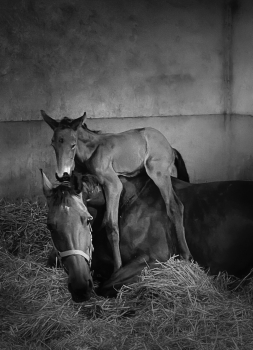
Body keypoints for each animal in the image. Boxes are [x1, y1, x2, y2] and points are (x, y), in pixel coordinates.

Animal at [41, 110, 191, 272]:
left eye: (73, 144)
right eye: (53, 143)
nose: (62, 175)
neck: (91, 152)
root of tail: (170, 147)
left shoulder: (113, 185)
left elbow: (111, 225)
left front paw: (117, 267)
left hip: (159, 174)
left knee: (174, 206)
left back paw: (185, 254)